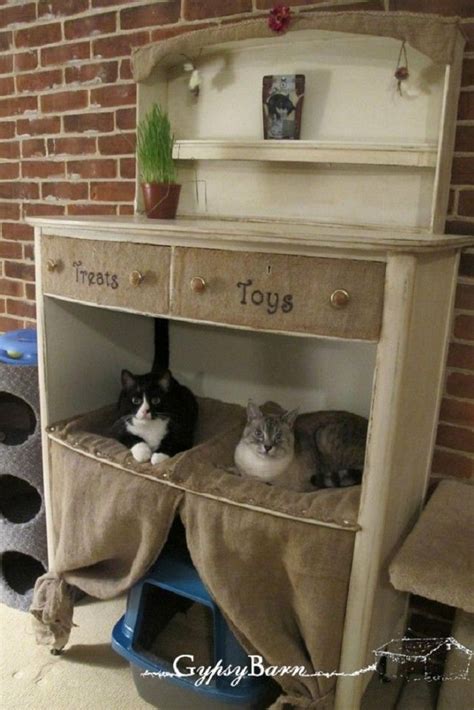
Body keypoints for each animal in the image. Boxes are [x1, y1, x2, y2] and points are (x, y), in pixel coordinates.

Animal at [235, 404, 368, 492]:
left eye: (278, 436)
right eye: (258, 433)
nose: (267, 447)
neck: (258, 466)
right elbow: (239, 472)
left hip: (323, 435)